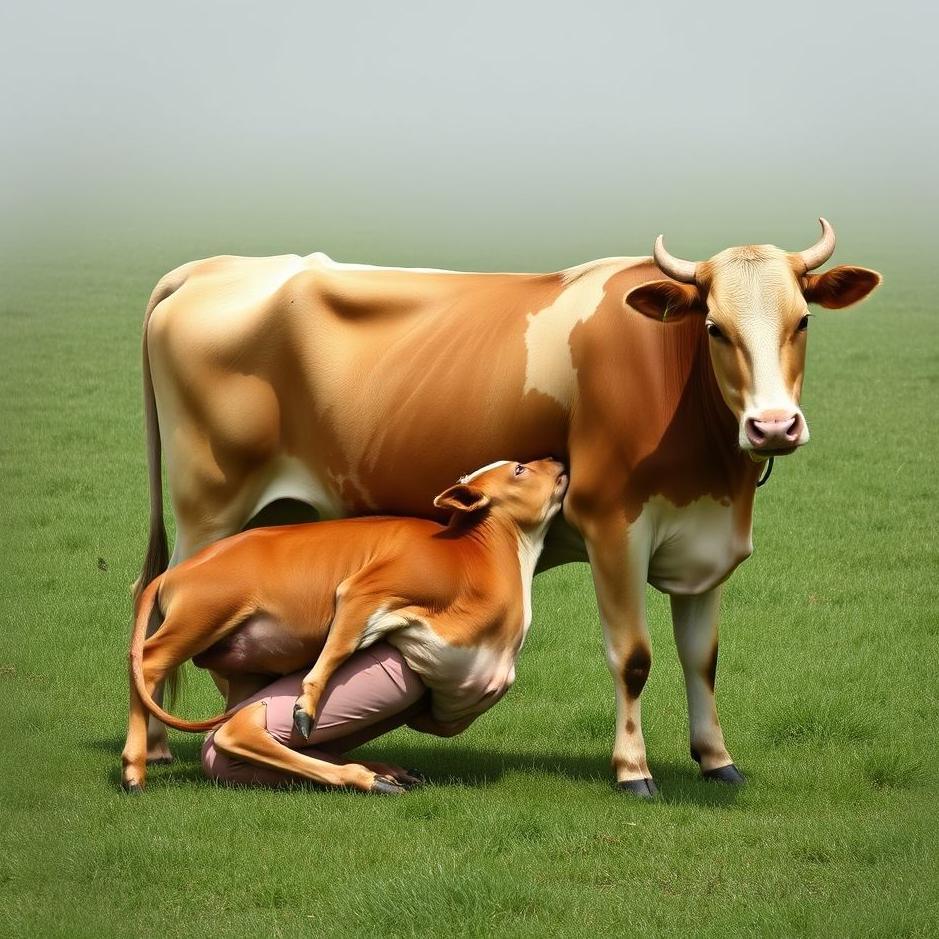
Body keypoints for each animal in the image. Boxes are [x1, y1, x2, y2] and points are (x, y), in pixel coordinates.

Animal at [135, 219, 881, 795]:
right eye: (715, 327)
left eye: (802, 321)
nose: (773, 426)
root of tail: (210, 268)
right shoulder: (612, 526)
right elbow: (634, 657)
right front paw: (632, 770)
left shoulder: (704, 539)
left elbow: (702, 658)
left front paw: (716, 760)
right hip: (208, 507)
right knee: (157, 611)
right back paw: (156, 753)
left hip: (273, 514)